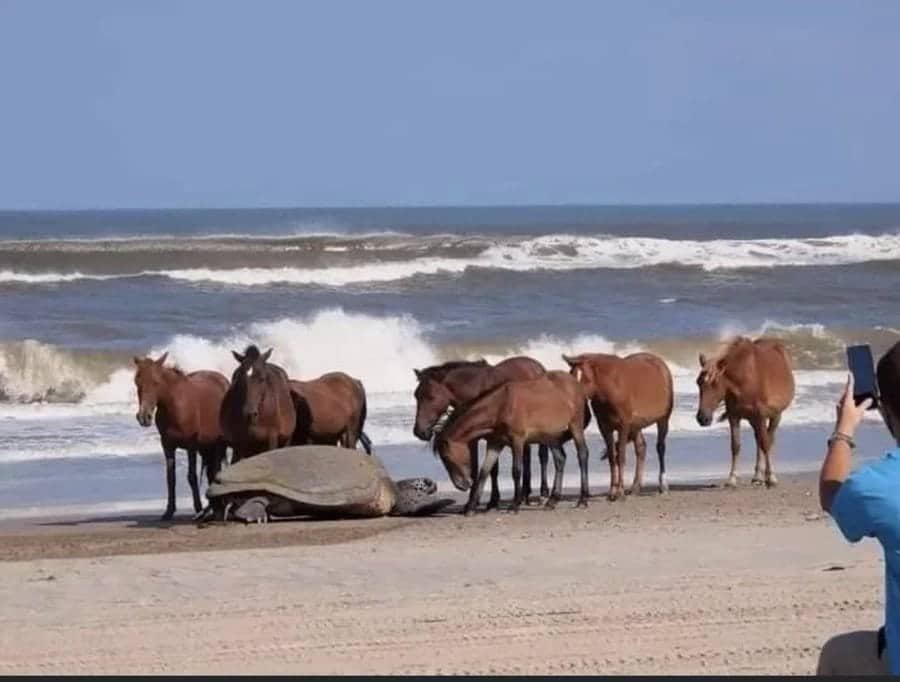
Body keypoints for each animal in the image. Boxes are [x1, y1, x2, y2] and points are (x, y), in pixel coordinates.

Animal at [133, 353, 229, 520]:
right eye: (137, 382)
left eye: (156, 382)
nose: (144, 417)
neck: (174, 406)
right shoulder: (167, 445)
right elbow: (170, 478)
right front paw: (169, 511)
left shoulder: (191, 445)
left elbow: (192, 476)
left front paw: (198, 508)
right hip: (206, 447)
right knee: (211, 471)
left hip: (218, 444)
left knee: (216, 470)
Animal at [413, 357, 552, 507]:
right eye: (416, 395)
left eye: (431, 397)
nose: (419, 431)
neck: (476, 389)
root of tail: (537, 366)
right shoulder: (473, 438)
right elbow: (480, 469)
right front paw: (482, 500)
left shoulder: (487, 437)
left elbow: (490, 470)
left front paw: (490, 500)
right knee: (526, 456)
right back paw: (525, 493)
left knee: (543, 457)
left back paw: (543, 493)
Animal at [432, 370, 590, 515]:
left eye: (446, 457)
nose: (462, 485)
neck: (501, 406)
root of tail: (575, 382)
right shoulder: (495, 444)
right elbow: (484, 471)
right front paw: (471, 507)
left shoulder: (517, 441)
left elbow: (516, 470)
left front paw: (514, 505)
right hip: (551, 436)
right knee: (560, 460)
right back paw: (552, 501)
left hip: (575, 427)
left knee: (582, 455)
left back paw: (582, 499)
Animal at [562, 352, 674, 501]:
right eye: (572, 375)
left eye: (586, 378)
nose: (573, 397)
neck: (611, 388)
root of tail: (660, 363)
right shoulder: (605, 428)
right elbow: (612, 456)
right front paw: (612, 491)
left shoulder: (623, 426)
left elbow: (620, 456)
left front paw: (620, 491)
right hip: (636, 426)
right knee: (641, 448)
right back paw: (635, 488)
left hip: (662, 420)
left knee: (660, 448)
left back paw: (663, 485)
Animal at [695, 336, 795, 488]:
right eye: (698, 383)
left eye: (715, 383)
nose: (702, 418)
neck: (745, 378)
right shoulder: (734, 417)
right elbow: (735, 446)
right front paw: (732, 478)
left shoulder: (760, 416)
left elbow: (766, 444)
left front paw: (771, 477)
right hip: (753, 420)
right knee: (759, 440)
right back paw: (757, 476)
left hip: (775, 415)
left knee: (768, 439)